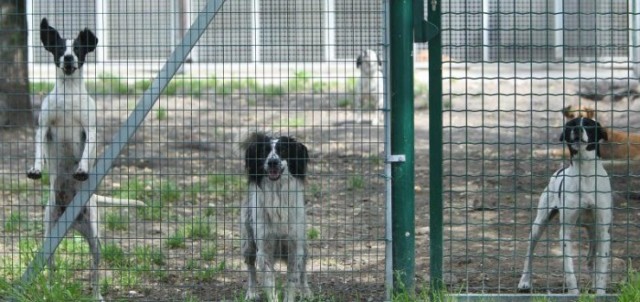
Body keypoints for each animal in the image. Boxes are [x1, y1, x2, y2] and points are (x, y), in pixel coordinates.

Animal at [27, 18, 104, 302]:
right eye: (60, 48)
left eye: (78, 49)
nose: (69, 58)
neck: (69, 94)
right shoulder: (44, 128)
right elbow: (39, 151)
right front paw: (36, 169)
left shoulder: (90, 130)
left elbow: (87, 152)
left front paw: (81, 169)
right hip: (49, 236)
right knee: (49, 267)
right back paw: (50, 290)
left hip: (95, 239)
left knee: (95, 271)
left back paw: (97, 295)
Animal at [239, 133, 312, 302]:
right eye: (264, 151)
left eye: (283, 150)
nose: (273, 162)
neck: (277, 195)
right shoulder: (264, 248)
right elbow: (269, 281)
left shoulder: (295, 246)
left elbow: (292, 280)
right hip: (249, 243)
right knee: (251, 269)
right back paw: (251, 292)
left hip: (304, 246)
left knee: (303, 271)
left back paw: (306, 292)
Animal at [516, 116, 612, 294]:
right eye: (571, 125)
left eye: (588, 124)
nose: (577, 129)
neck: (585, 173)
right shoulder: (565, 232)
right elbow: (569, 269)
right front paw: (574, 293)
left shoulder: (603, 231)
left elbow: (602, 267)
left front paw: (600, 292)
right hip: (539, 223)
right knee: (529, 253)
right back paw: (524, 281)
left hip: (594, 232)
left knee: (591, 259)